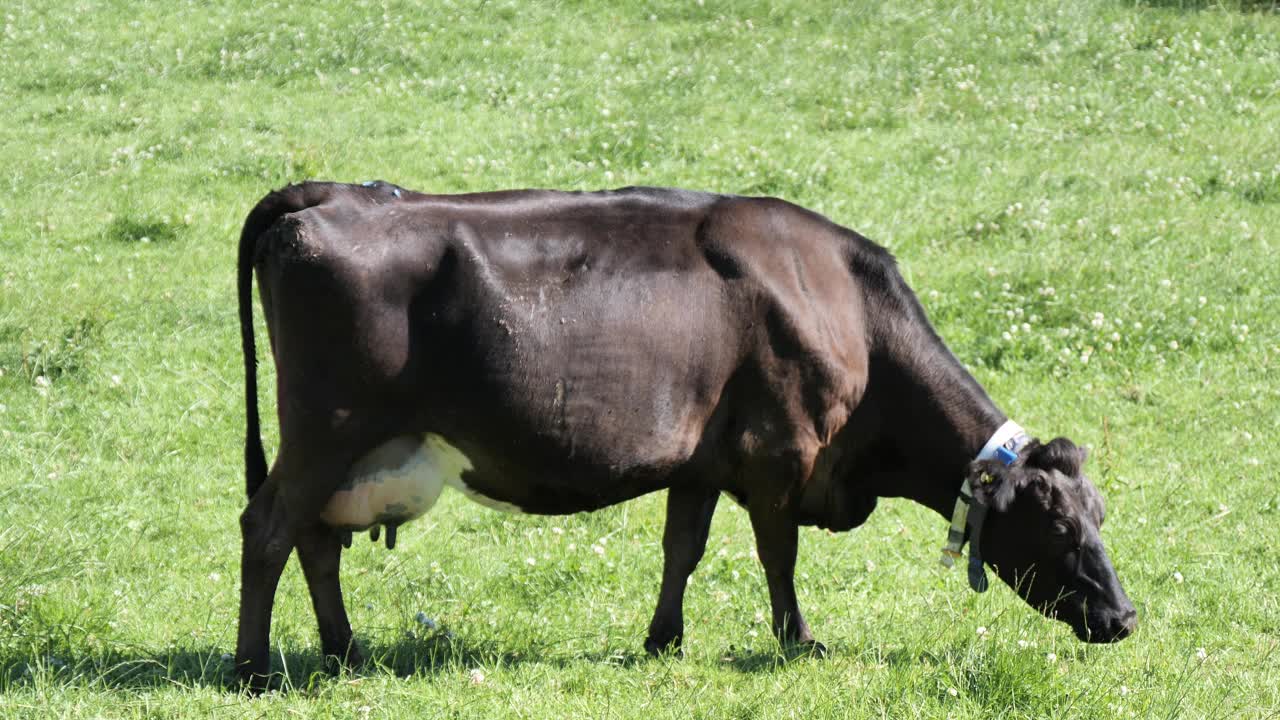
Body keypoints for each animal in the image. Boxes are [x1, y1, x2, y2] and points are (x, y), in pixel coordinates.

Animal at [235, 181, 1136, 686]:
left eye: (1101, 518)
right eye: (1058, 526)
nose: (1124, 618)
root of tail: (329, 194)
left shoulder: (702, 460)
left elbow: (684, 548)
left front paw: (663, 640)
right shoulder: (780, 453)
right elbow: (778, 557)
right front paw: (798, 641)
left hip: (345, 451)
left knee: (314, 540)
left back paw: (344, 651)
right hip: (327, 431)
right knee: (269, 528)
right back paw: (253, 669)